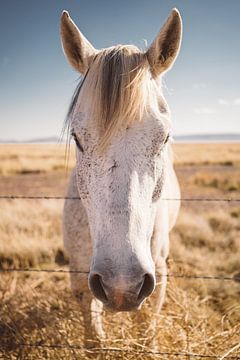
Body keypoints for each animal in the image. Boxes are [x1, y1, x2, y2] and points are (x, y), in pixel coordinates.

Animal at [60, 8, 182, 350]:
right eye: (77, 138)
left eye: (165, 138)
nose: (121, 284)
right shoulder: (79, 275)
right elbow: (93, 333)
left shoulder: (158, 275)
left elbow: (146, 329)